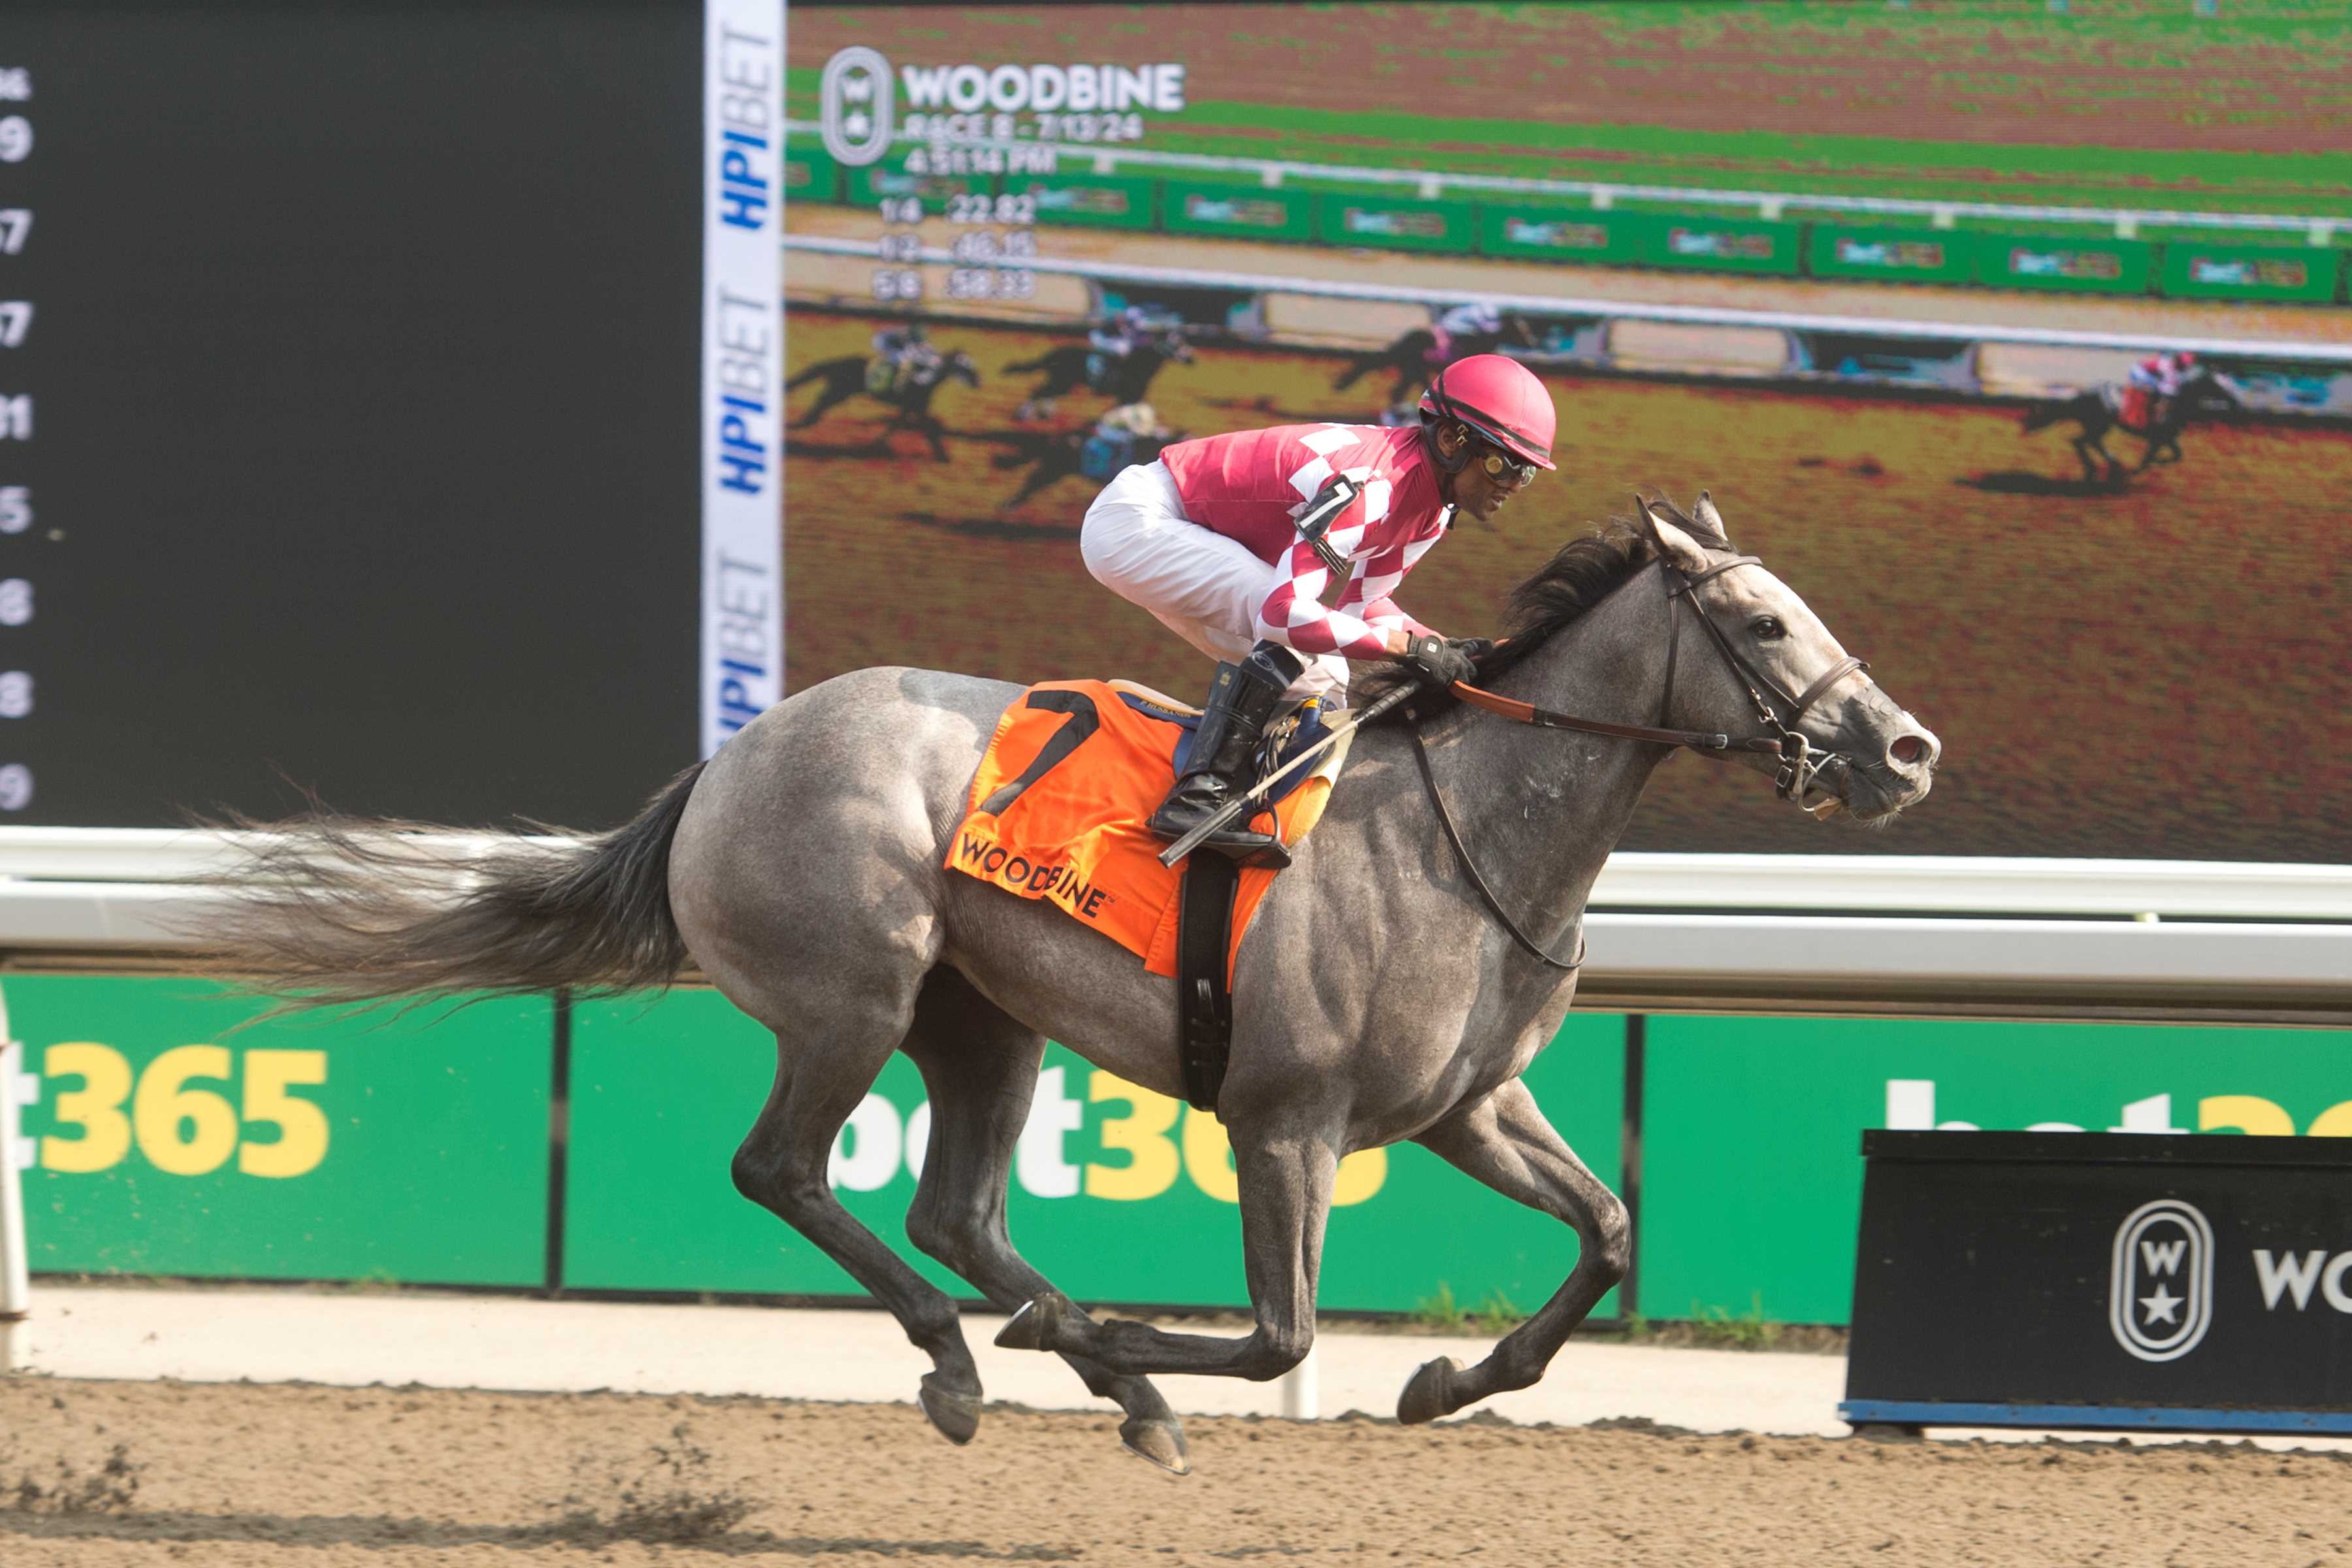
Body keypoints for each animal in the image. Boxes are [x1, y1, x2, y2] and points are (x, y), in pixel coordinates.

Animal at [197, 496, 1929, 1476]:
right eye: (1761, 620)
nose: (1904, 749)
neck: (1474, 830)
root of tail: (726, 760)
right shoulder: (1286, 1115)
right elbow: (1280, 1334)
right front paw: (1139, 1350)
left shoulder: (1467, 1105)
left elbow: (1612, 1232)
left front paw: (1450, 1378)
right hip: (858, 992)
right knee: (786, 1171)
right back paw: (990, 1356)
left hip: (986, 1021)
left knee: (954, 1211)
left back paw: (1078, 1354)